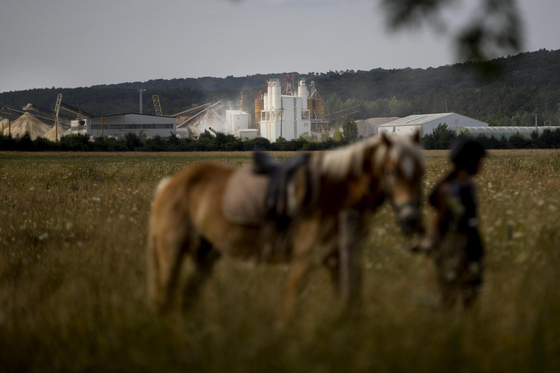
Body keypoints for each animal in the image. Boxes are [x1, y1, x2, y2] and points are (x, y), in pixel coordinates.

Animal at [149, 132, 424, 326]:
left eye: (421, 172)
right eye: (391, 171)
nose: (412, 220)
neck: (335, 193)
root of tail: (169, 184)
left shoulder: (339, 258)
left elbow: (351, 304)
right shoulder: (305, 258)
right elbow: (290, 309)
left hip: (206, 254)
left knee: (185, 299)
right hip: (172, 251)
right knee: (165, 299)